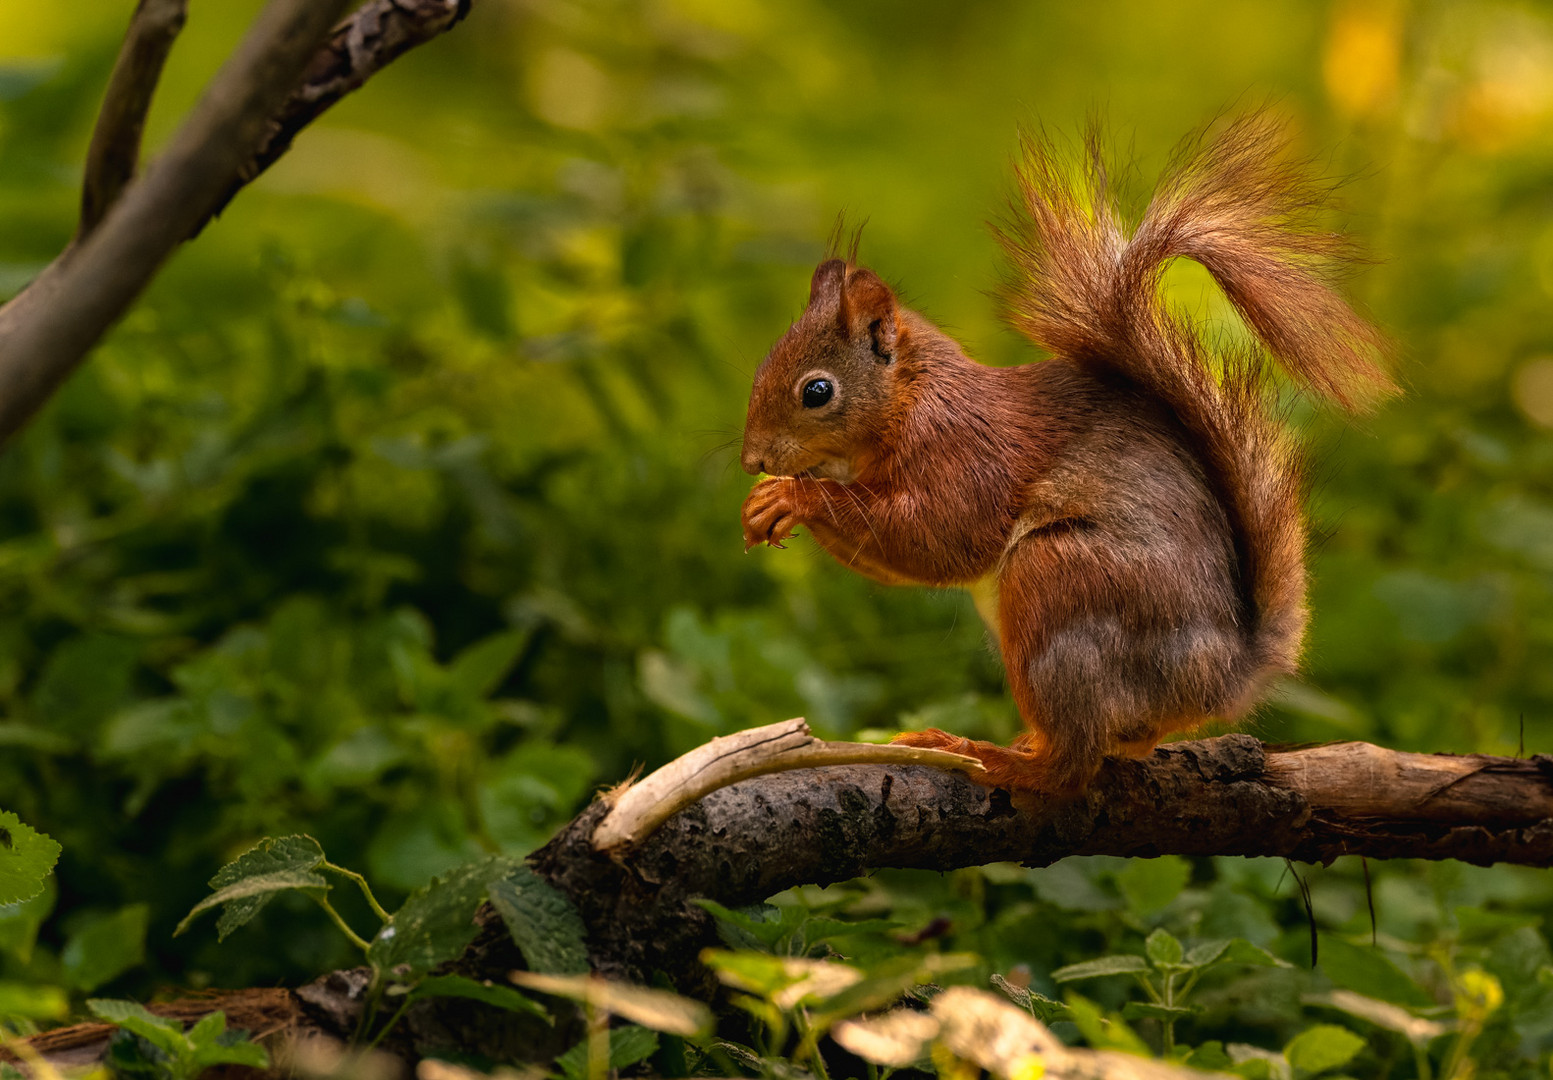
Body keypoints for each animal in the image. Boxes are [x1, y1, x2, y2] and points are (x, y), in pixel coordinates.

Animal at [736, 114, 1397, 795]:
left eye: (817, 391)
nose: (753, 459)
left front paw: (790, 496)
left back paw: (992, 756)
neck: (912, 399)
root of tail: (1223, 676)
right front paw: (764, 502)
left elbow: (940, 536)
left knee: (1072, 763)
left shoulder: (967, 454)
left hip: (1060, 588)